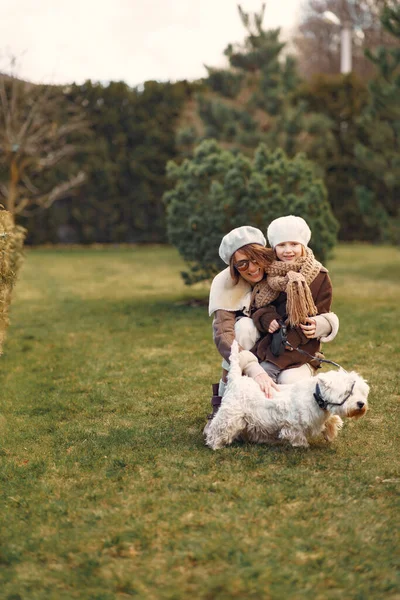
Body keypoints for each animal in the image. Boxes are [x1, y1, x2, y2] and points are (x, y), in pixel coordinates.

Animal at [206, 342, 368, 450]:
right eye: (348, 392)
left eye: (362, 392)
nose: (361, 404)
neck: (315, 396)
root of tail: (236, 380)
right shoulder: (293, 424)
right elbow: (297, 435)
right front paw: (302, 445)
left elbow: (331, 421)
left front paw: (330, 433)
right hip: (231, 415)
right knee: (218, 428)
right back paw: (214, 444)